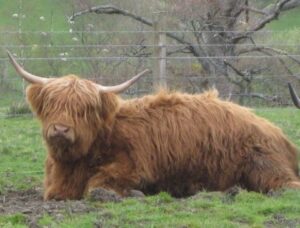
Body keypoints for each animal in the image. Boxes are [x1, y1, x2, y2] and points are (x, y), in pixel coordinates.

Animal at [7, 50, 300, 200]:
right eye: (52, 104)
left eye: (84, 109)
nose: (60, 129)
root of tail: (277, 133)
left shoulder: (135, 169)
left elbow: (98, 185)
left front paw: (134, 193)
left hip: (266, 169)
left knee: (286, 185)